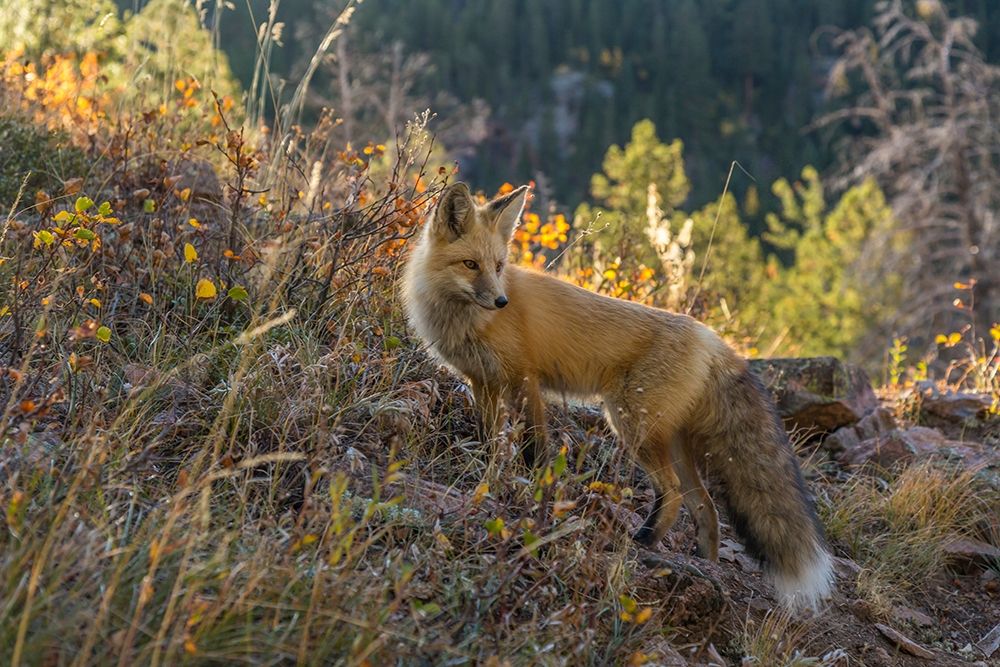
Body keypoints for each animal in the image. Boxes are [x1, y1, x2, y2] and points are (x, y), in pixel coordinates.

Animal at [401, 182, 834, 610]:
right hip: (671, 442)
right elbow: (493, 444)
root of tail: (712, 338)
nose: (501, 301)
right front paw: (490, 479)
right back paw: (706, 566)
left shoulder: (525, 379)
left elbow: (533, 449)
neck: (465, 320)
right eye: (471, 265)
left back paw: (645, 540)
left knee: (673, 492)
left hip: (630, 423)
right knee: (705, 508)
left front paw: (531, 494)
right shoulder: (484, 382)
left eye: (498, 266)